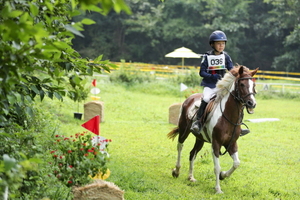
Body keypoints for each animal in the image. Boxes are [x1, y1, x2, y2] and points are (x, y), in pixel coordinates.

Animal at [168, 65, 258, 194]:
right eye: (242, 84)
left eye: (253, 85)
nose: (252, 103)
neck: (228, 116)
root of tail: (189, 98)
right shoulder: (216, 144)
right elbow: (217, 167)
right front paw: (218, 189)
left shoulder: (231, 144)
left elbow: (236, 163)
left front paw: (223, 175)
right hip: (184, 131)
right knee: (180, 146)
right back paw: (176, 171)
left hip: (200, 139)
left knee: (192, 153)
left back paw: (191, 177)